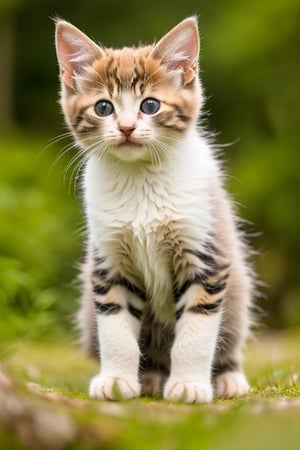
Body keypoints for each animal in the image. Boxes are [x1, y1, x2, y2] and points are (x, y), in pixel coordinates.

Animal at [55, 16, 254, 404]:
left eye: (150, 105)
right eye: (104, 108)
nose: (127, 127)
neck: (141, 181)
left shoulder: (207, 257)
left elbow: (196, 332)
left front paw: (189, 385)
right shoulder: (108, 264)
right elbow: (116, 330)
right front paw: (117, 381)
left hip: (238, 286)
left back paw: (227, 378)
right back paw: (150, 378)